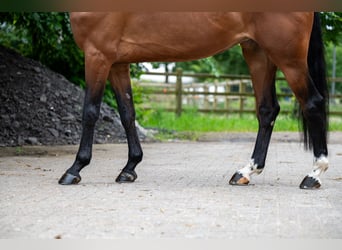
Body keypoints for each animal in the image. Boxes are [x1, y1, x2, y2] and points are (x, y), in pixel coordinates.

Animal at [58, 11, 328, 188]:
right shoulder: (117, 63)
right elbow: (127, 113)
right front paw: (129, 168)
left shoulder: (97, 55)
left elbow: (90, 111)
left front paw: (75, 169)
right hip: (258, 53)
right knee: (267, 110)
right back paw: (245, 172)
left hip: (288, 57)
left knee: (312, 103)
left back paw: (313, 175)